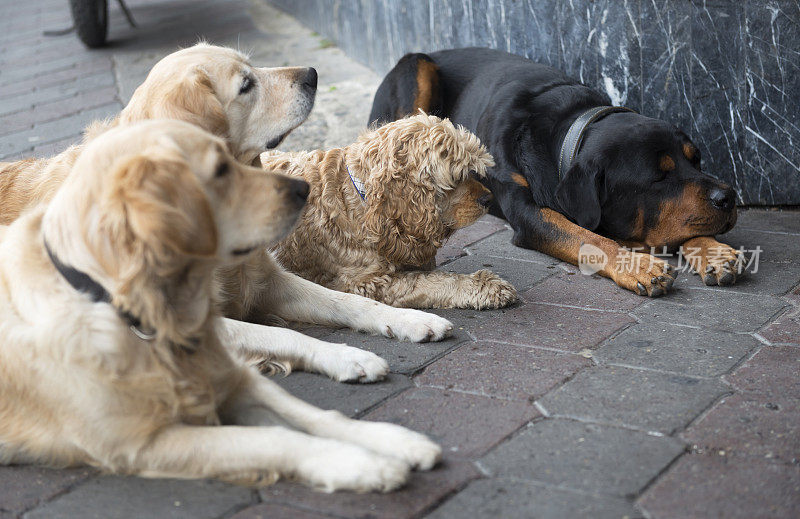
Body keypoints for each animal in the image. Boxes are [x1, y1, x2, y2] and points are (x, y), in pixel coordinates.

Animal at [0, 120, 438, 494]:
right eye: (220, 171)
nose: (303, 189)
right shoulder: (145, 442)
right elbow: (273, 422)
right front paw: (355, 453)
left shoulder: (265, 290)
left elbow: (346, 307)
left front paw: (407, 325)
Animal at [266, 114, 520, 308]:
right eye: (456, 178)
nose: (489, 199)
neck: (361, 196)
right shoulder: (365, 283)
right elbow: (431, 281)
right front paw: (485, 286)